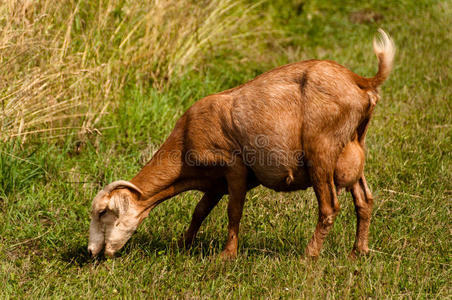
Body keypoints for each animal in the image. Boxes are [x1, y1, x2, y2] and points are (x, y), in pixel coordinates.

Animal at [86, 28, 394, 258]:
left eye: (103, 212)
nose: (91, 251)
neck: (185, 142)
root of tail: (361, 81)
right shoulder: (215, 182)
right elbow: (199, 211)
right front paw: (183, 245)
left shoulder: (233, 168)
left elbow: (233, 211)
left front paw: (227, 255)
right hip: (352, 150)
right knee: (364, 199)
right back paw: (358, 251)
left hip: (322, 153)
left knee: (329, 207)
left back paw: (309, 255)